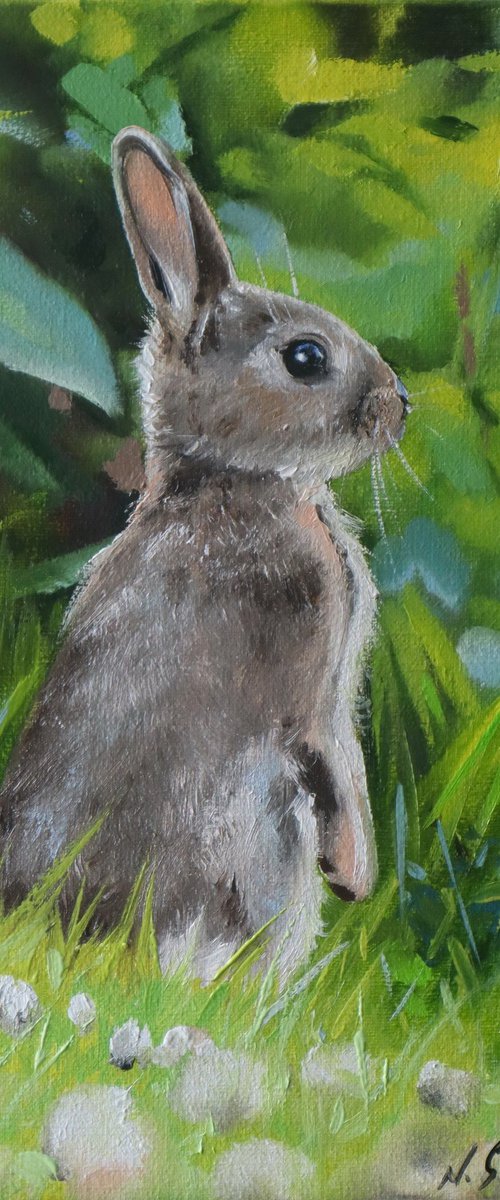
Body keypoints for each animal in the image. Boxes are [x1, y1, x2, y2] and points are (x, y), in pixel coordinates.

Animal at [0, 126, 409, 983]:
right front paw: (355, 875)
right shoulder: (309, 690)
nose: (399, 404)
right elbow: (335, 761)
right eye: (305, 359)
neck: (234, 480)